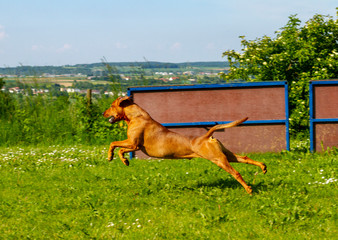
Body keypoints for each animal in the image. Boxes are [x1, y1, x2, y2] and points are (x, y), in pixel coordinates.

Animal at [103, 95, 266, 193]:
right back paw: (263, 167)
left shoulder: (133, 144)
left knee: (236, 173)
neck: (136, 116)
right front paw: (114, 157)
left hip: (218, 159)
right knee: (245, 158)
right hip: (226, 155)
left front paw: (120, 159)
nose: (103, 113)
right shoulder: (132, 144)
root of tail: (206, 136)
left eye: (111, 105)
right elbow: (115, 145)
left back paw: (249, 189)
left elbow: (116, 145)